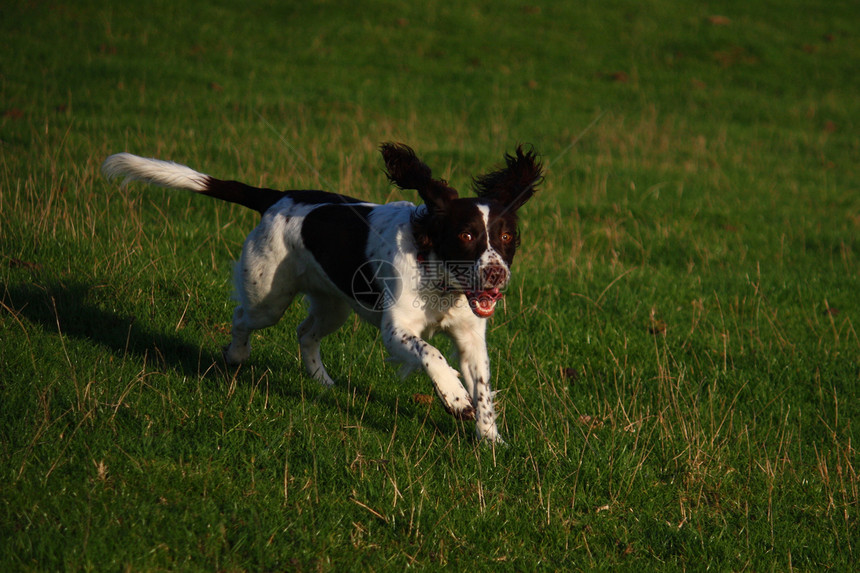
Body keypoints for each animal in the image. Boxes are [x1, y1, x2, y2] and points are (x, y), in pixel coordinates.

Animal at [102, 144, 544, 442]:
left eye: (507, 237)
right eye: (466, 235)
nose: (495, 274)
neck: (440, 277)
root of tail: (276, 195)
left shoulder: (470, 337)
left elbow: (482, 388)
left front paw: (490, 441)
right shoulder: (396, 328)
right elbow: (430, 353)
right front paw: (454, 398)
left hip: (335, 307)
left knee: (305, 332)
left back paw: (322, 380)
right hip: (268, 295)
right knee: (244, 318)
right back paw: (236, 355)